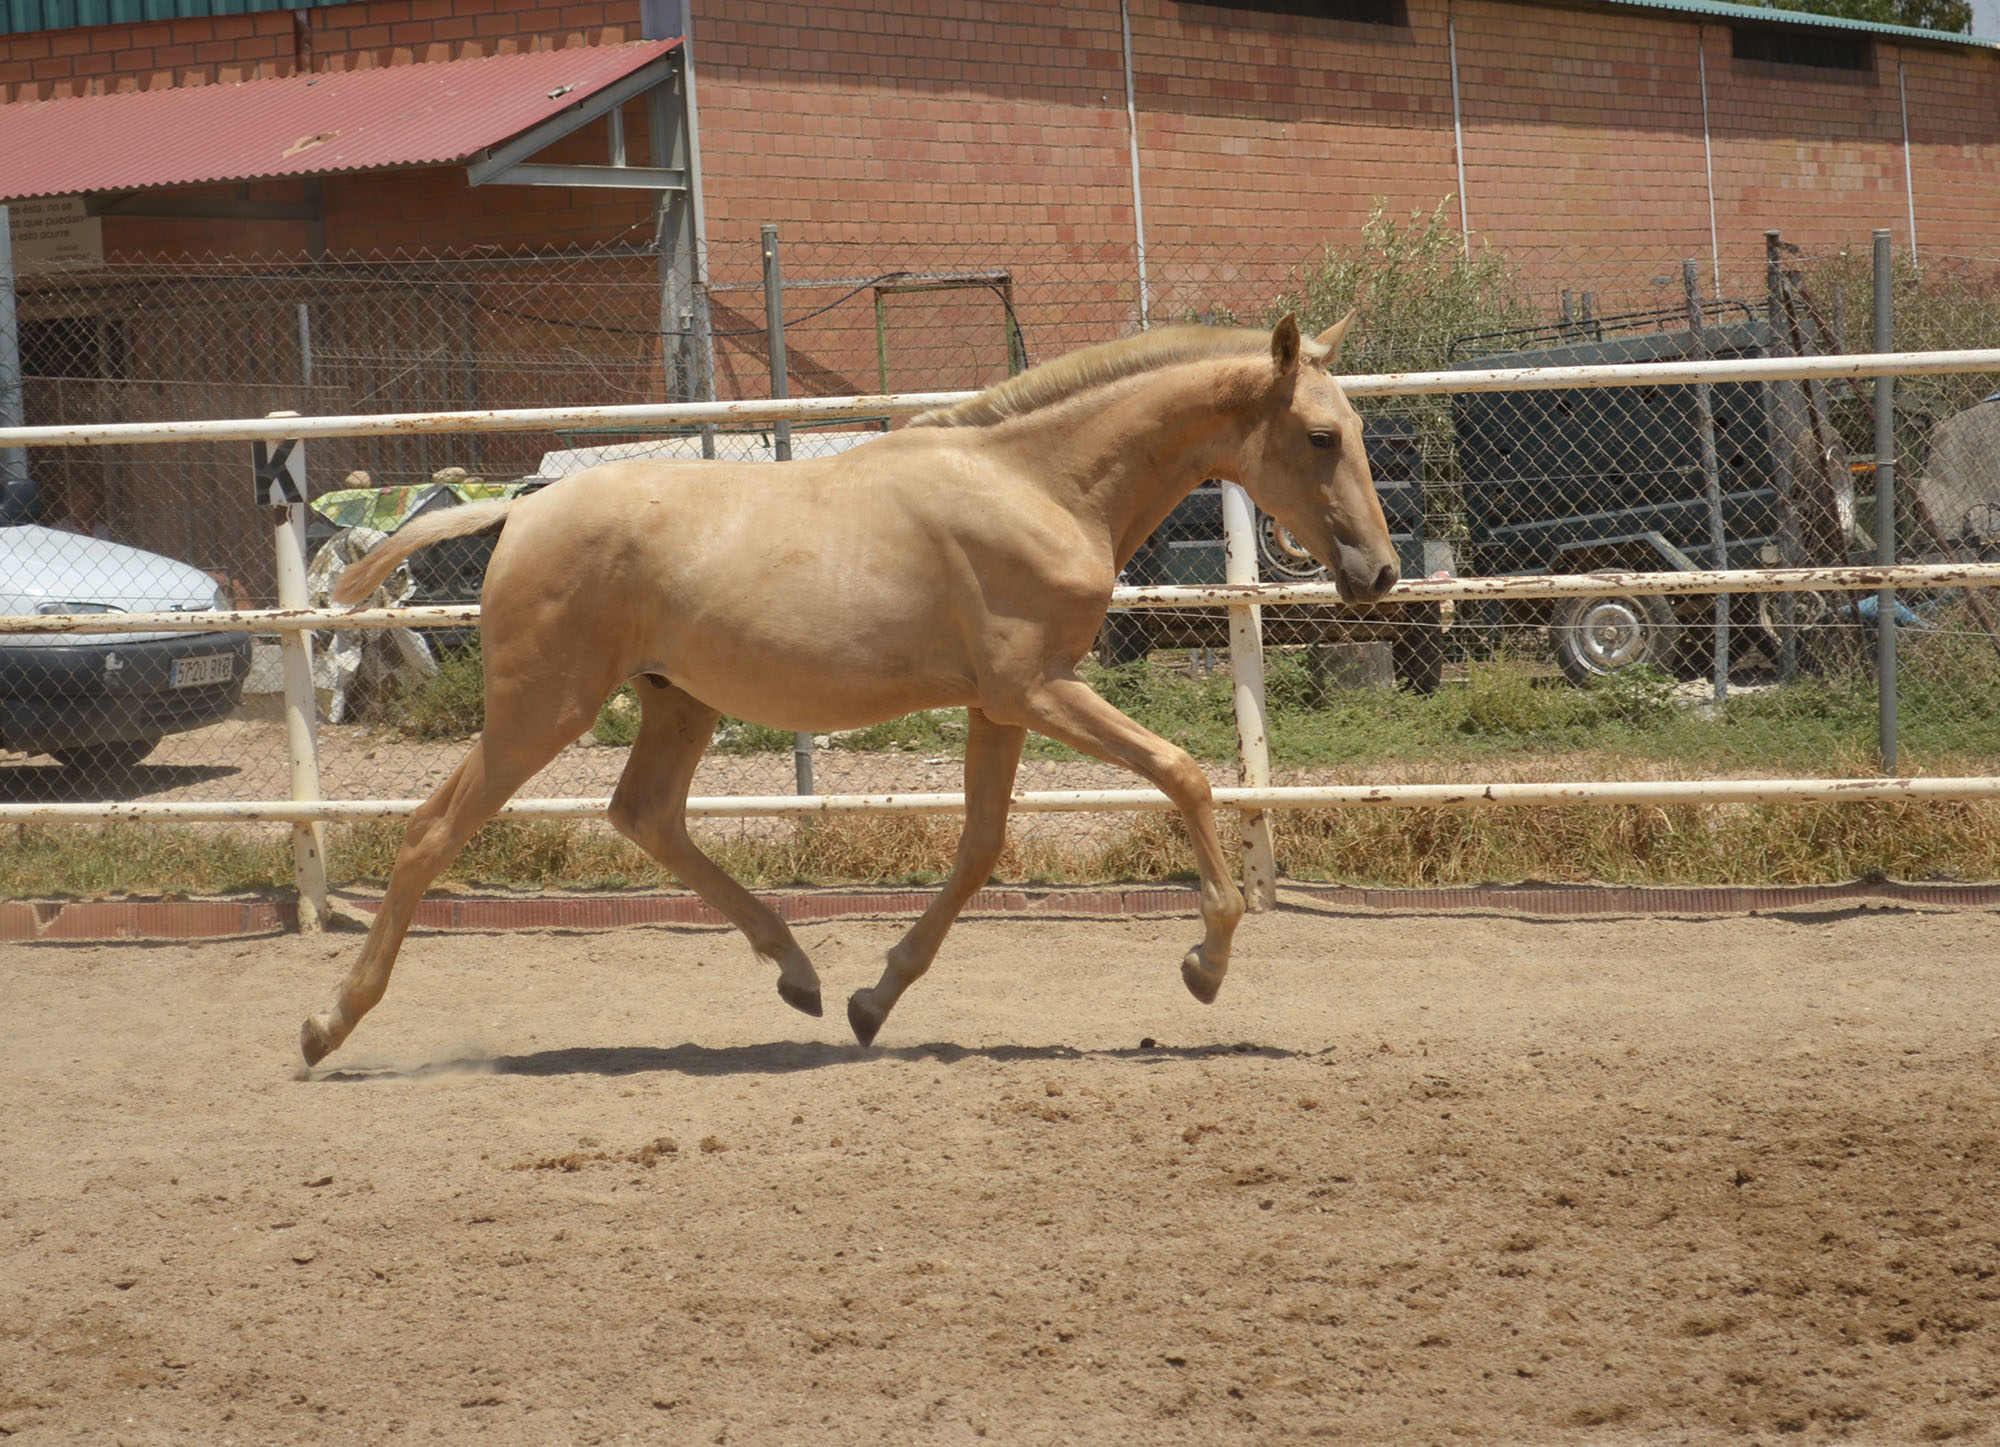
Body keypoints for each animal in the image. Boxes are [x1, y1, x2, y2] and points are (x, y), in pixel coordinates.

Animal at [300, 313, 1392, 1063]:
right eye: (1319, 435)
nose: (1378, 574)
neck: (1039, 484)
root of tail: (520, 512)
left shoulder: (997, 706)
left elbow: (980, 846)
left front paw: (876, 1000)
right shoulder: (1035, 688)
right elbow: (1182, 773)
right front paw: (1205, 964)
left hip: (675, 700)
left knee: (645, 814)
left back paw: (801, 974)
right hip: (540, 710)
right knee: (429, 832)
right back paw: (326, 1026)